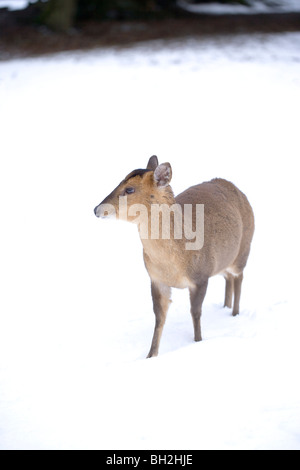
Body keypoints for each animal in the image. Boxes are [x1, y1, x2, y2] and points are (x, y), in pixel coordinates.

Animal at [94, 156, 253, 358]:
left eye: (129, 189)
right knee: (228, 278)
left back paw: (234, 313)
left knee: (239, 277)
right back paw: (225, 307)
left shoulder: (201, 276)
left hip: (243, 250)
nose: (96, 209)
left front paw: (198, 341)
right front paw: (151, 355)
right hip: (223, 262)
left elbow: (195, 313)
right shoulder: (156, 279)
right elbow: (159, 318)